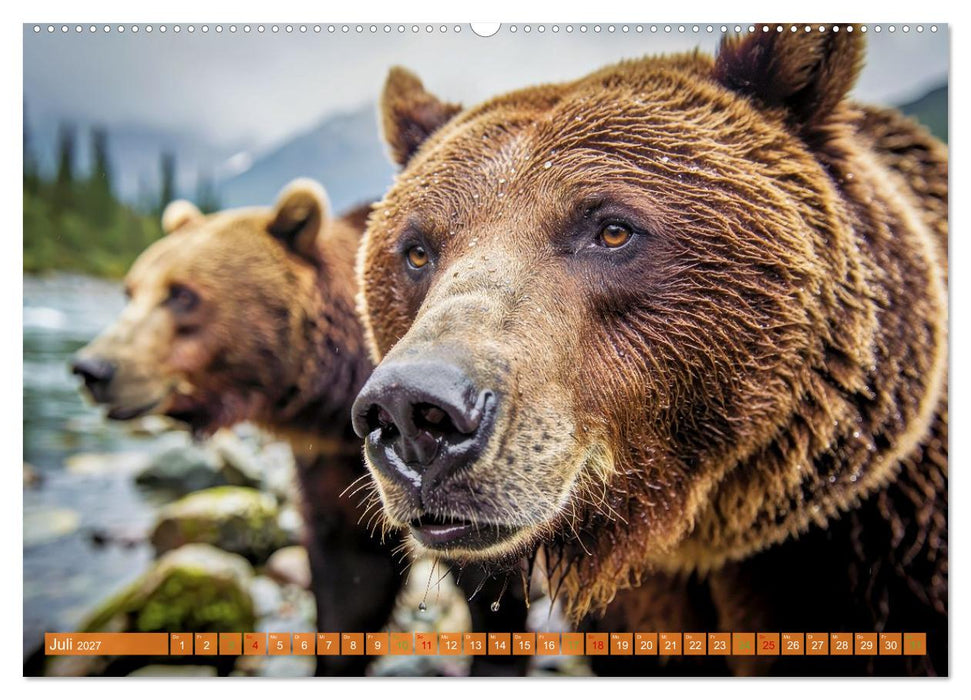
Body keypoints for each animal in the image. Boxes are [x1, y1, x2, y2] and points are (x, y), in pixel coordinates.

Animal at [72, 180, 529, 676]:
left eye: (181, 294)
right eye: (130, 290)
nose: (94, 367)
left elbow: (489, 580)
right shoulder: (334, 467)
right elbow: (350, 579)